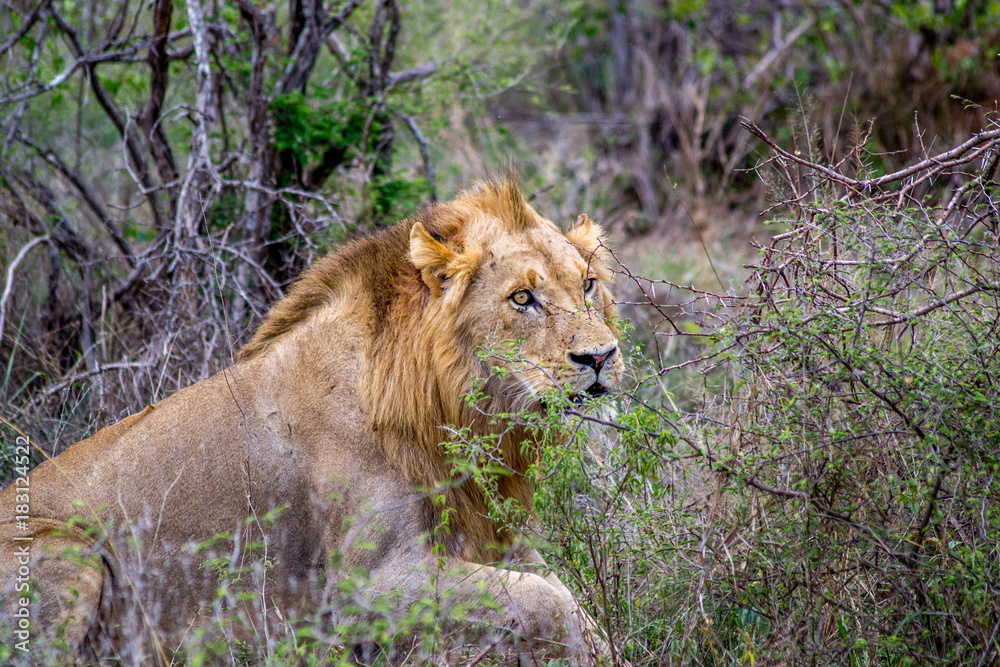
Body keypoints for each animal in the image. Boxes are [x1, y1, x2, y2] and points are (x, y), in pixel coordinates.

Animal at [0, 179, 623, 665]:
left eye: (587, 285)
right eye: (521, 298)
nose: (601, 357)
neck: (456, 408)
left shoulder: (492, 536)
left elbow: (573, 598)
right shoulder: (371, 587)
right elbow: (550, 600)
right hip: (70, 552)